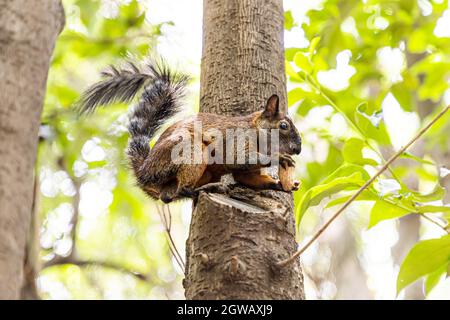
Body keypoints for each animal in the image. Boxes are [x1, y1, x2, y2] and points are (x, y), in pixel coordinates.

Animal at [77, 60, 302, 202]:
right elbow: (238, 158)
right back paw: (204, 189)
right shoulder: (236, 139)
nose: (297, 149)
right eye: (283, 126)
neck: (255, 130)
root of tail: (144, 172)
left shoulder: (247, 172)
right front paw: (279, 157)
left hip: (203, 172)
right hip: (190, 152)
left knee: (168, 197)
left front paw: (282, 185)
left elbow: (247, 178)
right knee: (182, 189)